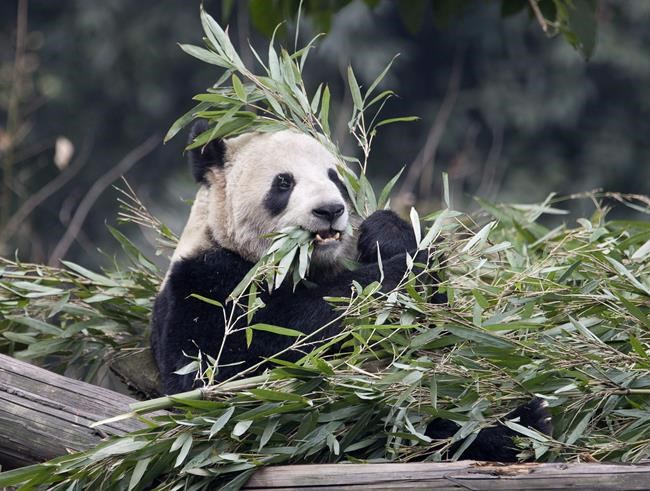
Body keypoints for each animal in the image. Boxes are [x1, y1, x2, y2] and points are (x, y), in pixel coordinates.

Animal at [151, 120, 551, 461]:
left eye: (335, 178)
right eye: (283, 183)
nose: (330, 209)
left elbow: (440, 328)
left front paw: (387, 233)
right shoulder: (208, 286)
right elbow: (228, 371)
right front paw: (402, 270)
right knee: (407, 419)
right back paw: (514, 427)